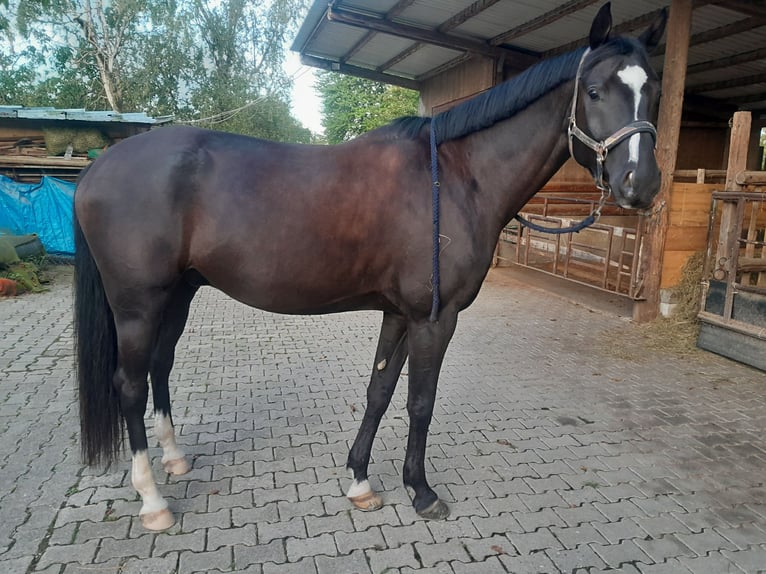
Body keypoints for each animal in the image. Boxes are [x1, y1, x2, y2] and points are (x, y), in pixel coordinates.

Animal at [74, 3, 667, 530]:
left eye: (654, 93)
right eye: (594, 92)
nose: (640, 185)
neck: (455, 177)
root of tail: (96, 170)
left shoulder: (400, 313)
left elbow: (379, 391)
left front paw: (360, 481)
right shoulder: (435, 318)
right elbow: (420, 402)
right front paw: (421, 492)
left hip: (178, 293)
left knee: (160, 366)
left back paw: (175, 460)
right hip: (138, 304)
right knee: (130, 384)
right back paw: (153, 501)